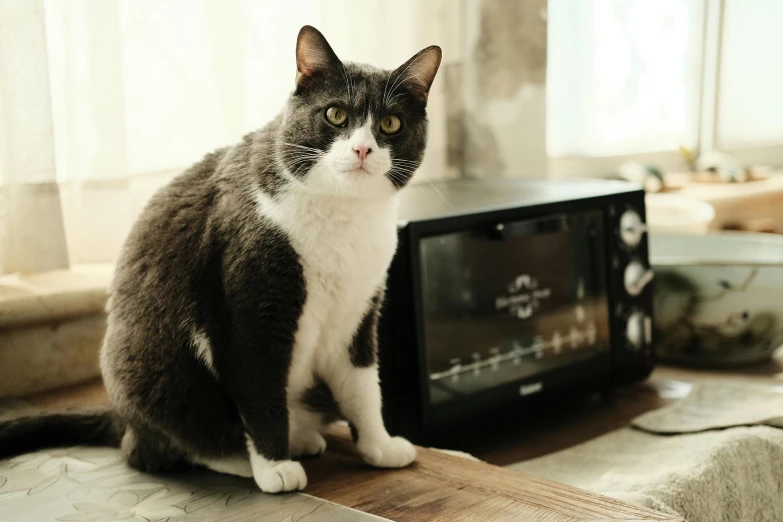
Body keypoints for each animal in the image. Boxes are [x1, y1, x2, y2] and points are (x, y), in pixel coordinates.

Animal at [0, 25, 440, 492]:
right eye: (335, 114)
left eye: (390, 124)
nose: (362, 151)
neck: (343, 215)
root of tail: (121, 418)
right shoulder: (252, 309)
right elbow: (261, 389)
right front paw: (274, 467)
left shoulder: (360, 308)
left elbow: (363, 387)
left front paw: (380, 446)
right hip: (162, 374)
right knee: (158, 449)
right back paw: (241, 461)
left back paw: (301, 439)